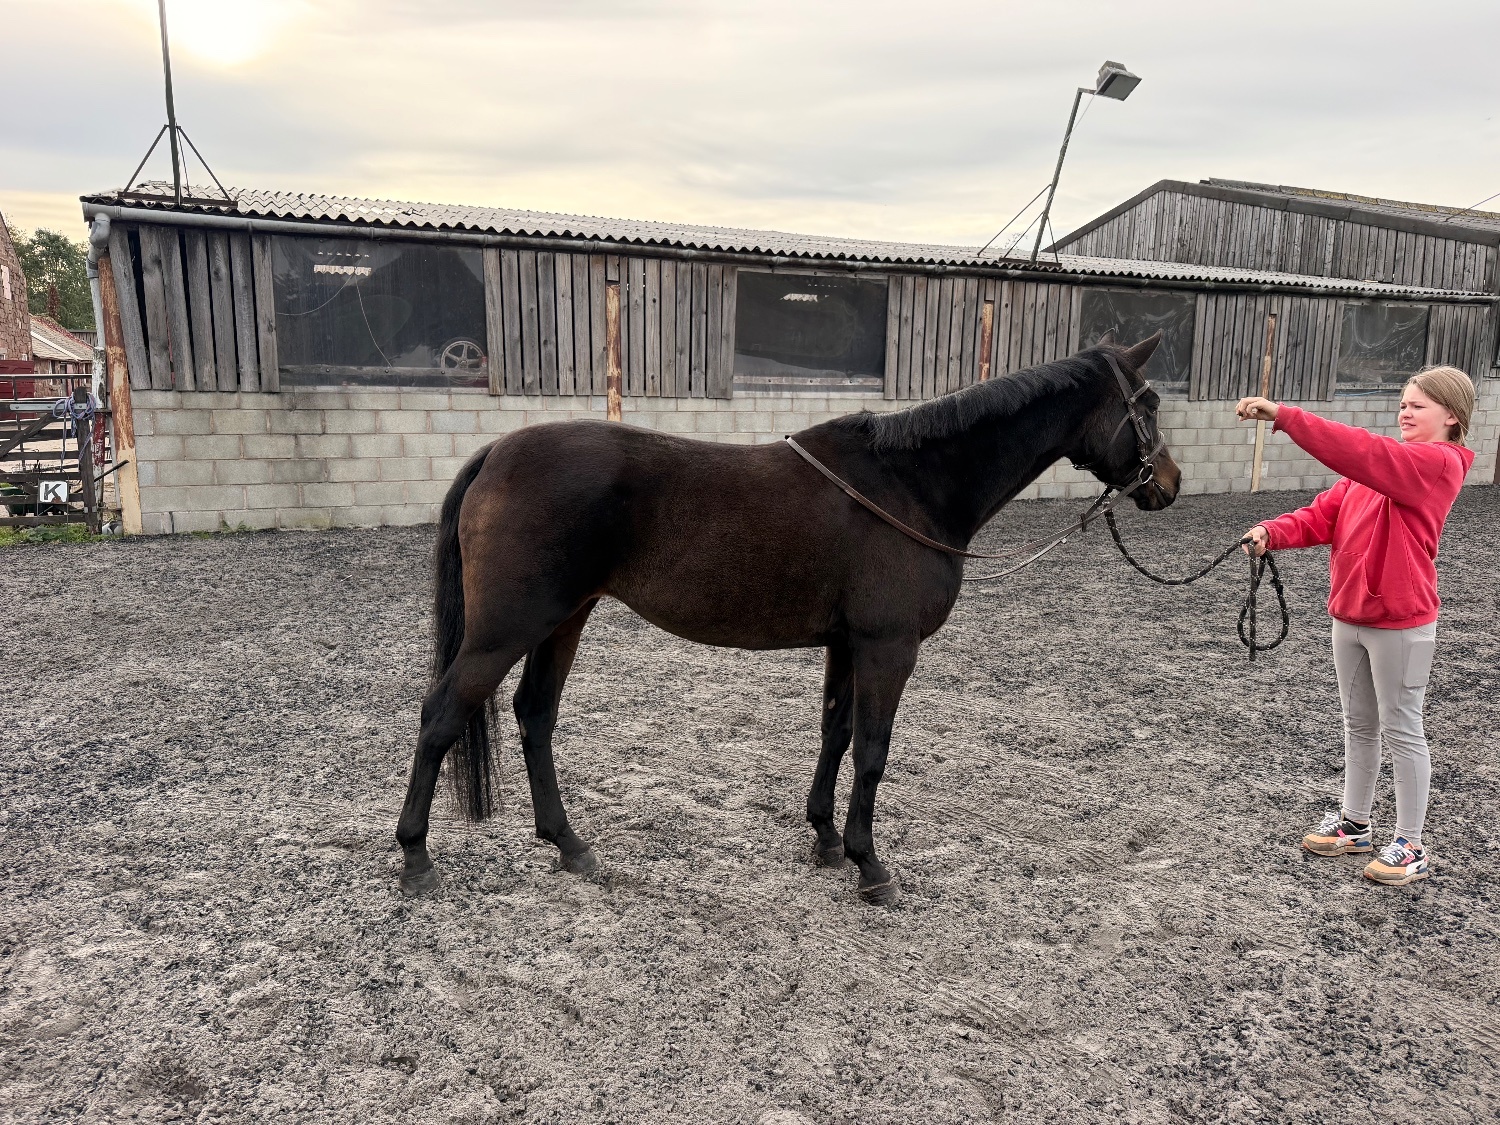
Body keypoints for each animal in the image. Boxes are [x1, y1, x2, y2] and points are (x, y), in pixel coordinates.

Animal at [396, 333, 1181, 905]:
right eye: (1147, 404)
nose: (1169, 485)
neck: (909, 486)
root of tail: (496, 452)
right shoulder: (888, 646)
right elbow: (873, 749)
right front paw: (870, 866)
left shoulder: (847, 643)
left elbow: (835, 732)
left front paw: (826, 839)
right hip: (506, 629)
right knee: (441, 715)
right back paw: (415, 857)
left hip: (563, 619)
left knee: (534, 715)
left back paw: (570, 845)